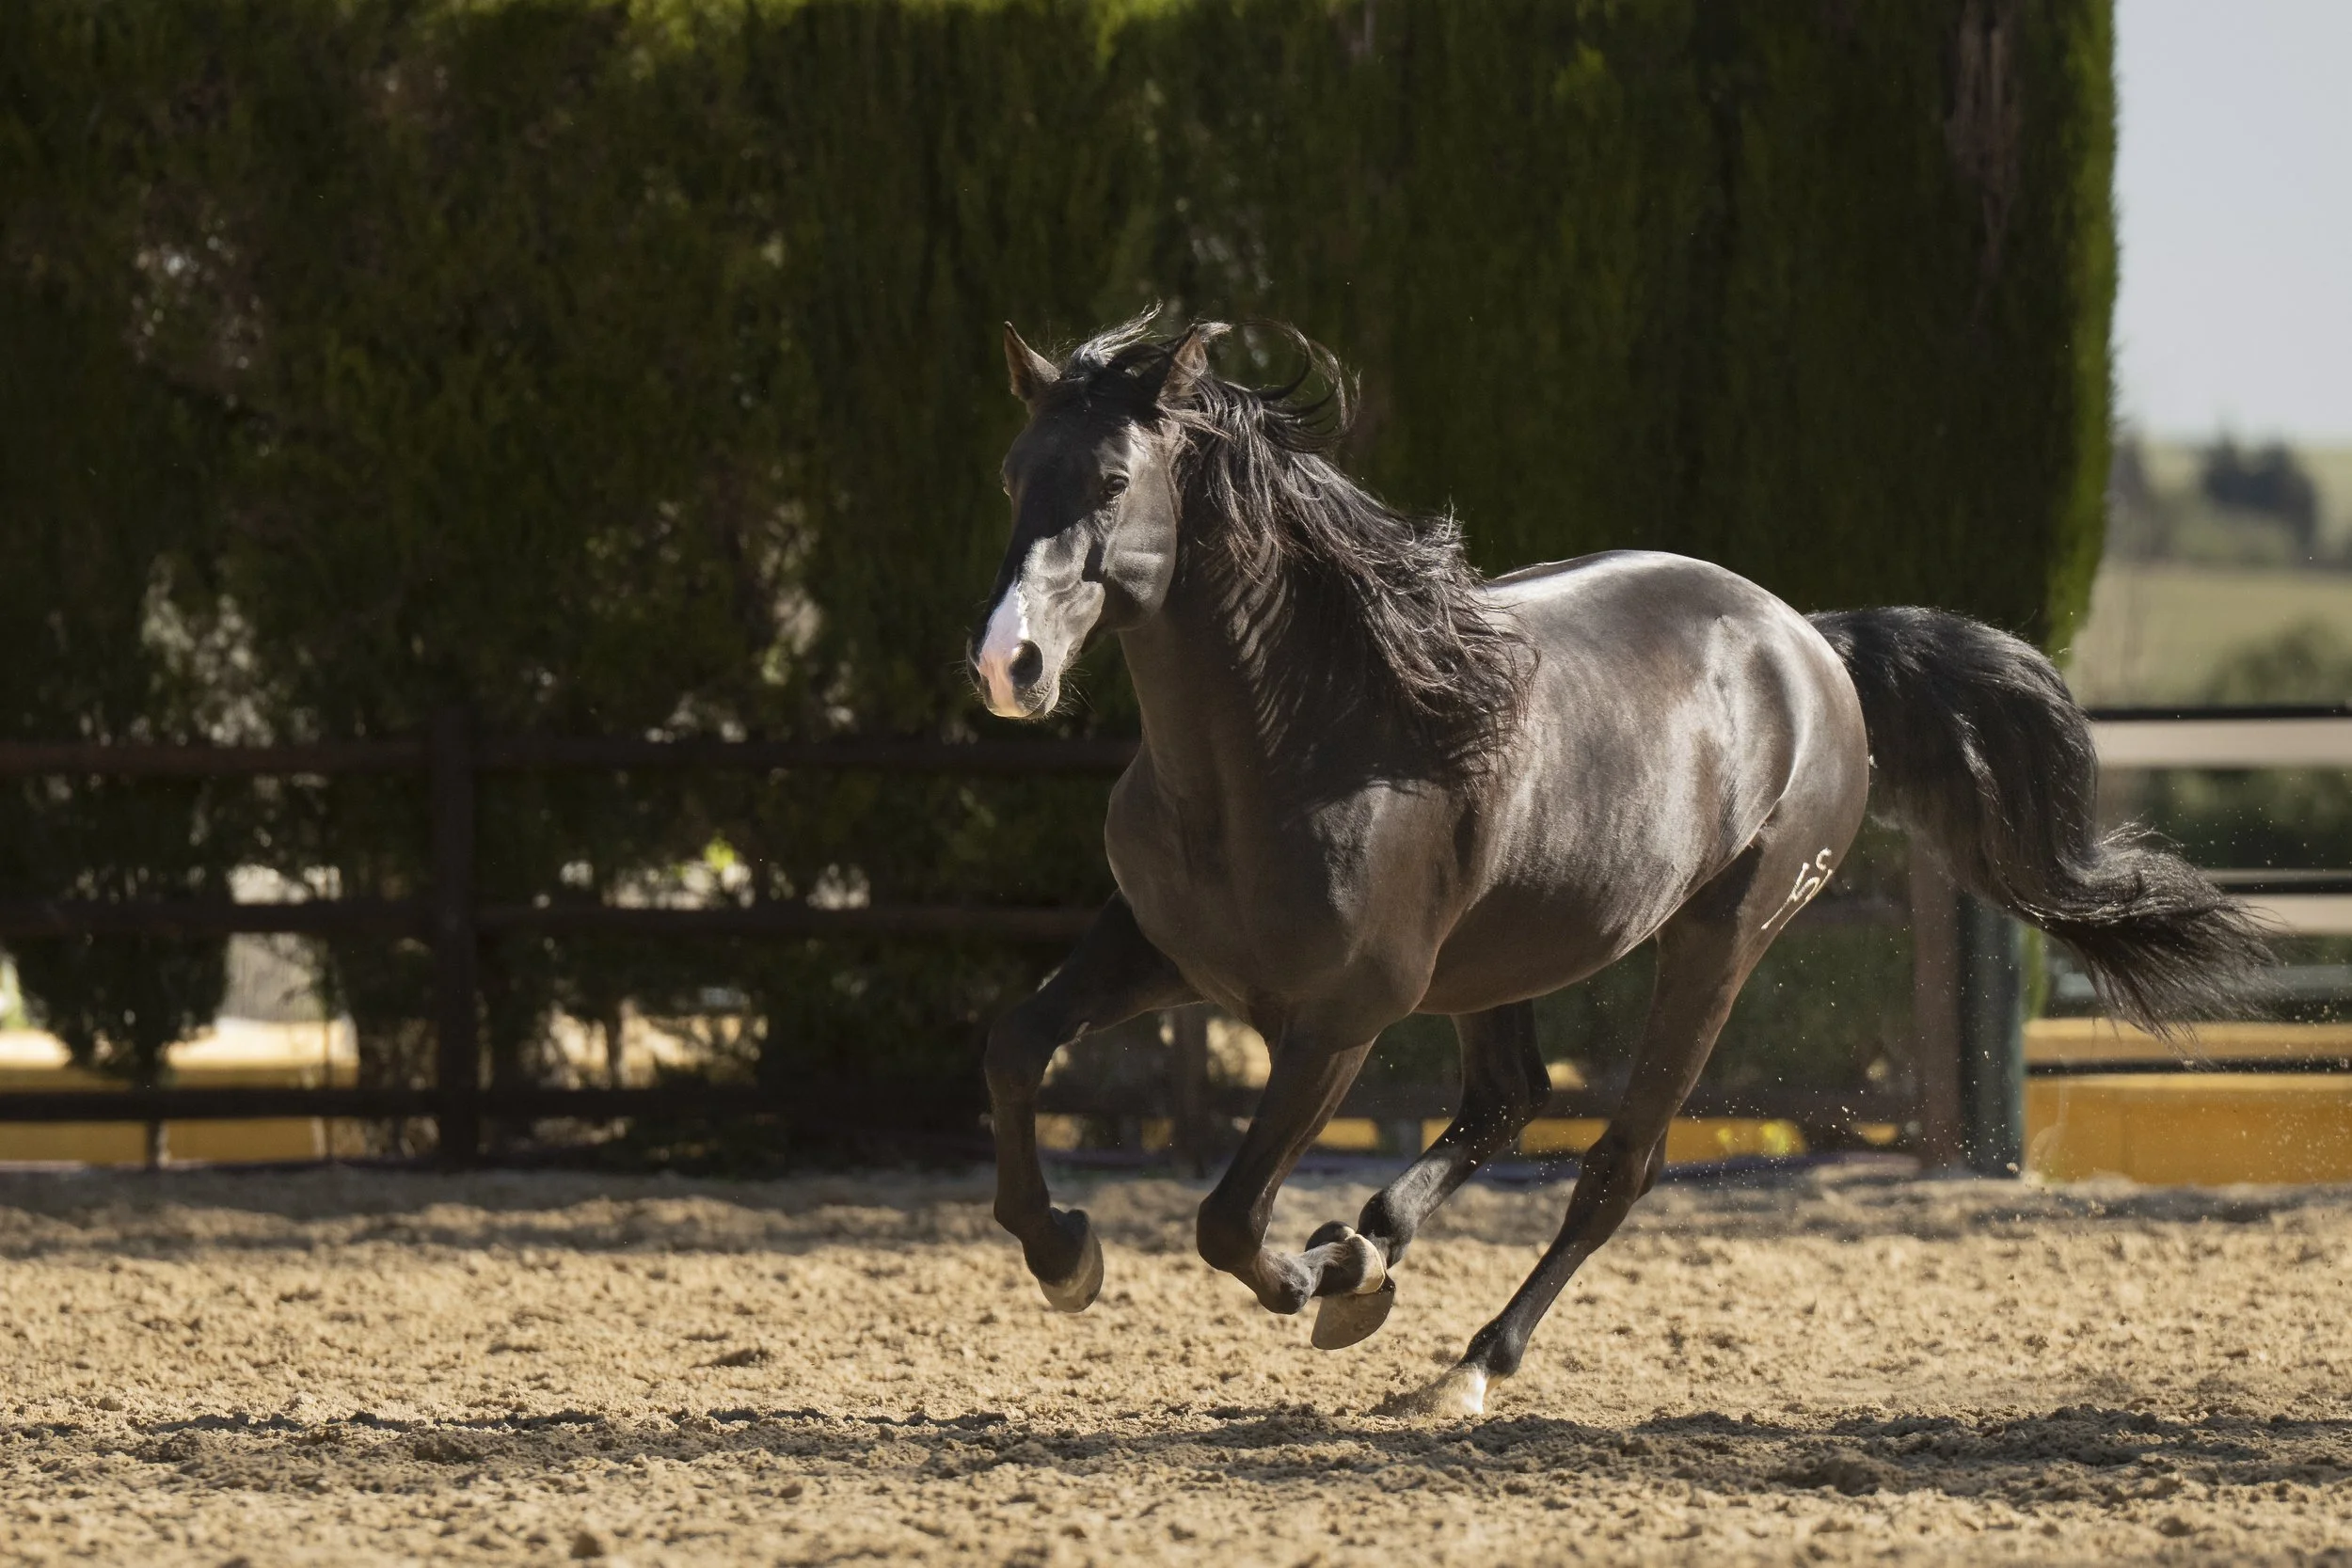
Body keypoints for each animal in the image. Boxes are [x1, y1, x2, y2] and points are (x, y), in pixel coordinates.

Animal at [968, 312, 2266, 1418]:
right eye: (1012, 474)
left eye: (1111, 482)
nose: (1007, 665)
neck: (1292, 747)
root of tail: (1813, 642)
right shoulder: (1158, 948)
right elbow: (1020, 1043)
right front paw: (1065, 1251)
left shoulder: (1339, 1021)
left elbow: (1229, 1219)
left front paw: (1315, 1283)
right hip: (1496, 959)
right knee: (1510, 1097)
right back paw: (1369, 1246)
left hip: (1718, 940)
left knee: (1614, 1163)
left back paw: (1461, 1361)